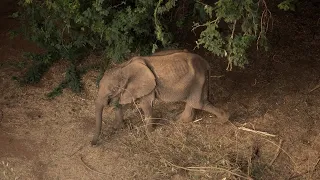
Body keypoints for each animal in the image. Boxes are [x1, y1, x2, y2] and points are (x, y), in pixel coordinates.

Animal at [91, 50, 229, 145]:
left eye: (112, 91)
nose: (92, 144)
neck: (124, 67)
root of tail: (206, 63)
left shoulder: (147, 86)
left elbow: (145, 105)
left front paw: (148, 133)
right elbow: (121, 103)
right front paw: (119, 127)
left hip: (198, 80)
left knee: (198, 103)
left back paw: (223, 120)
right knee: (193, 102)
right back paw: (179, 120)